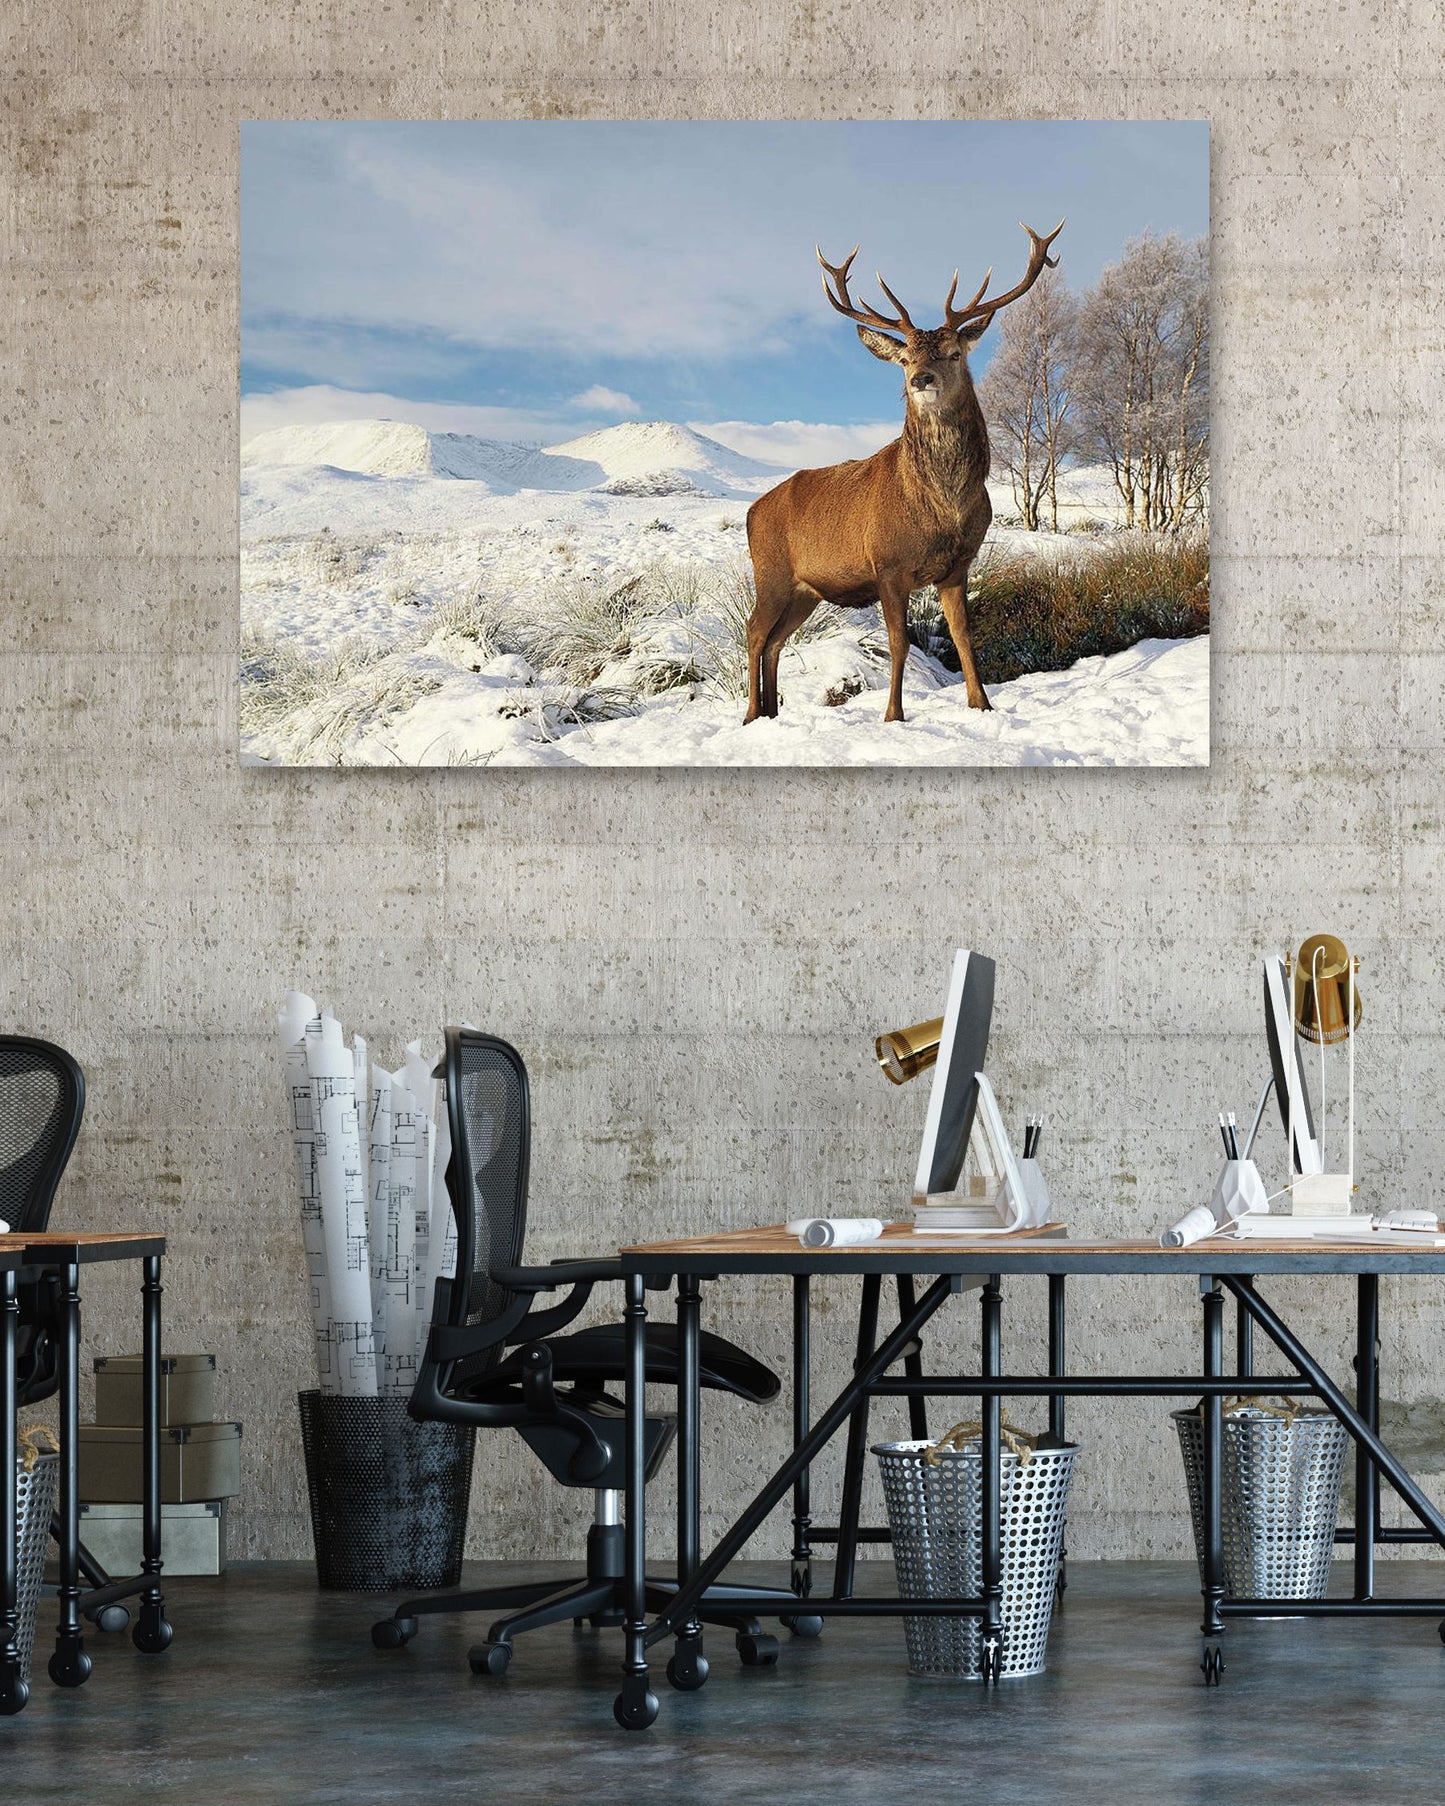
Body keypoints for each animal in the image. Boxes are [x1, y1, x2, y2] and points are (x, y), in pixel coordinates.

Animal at [743, 220, 1064, 725]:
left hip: (806, 590)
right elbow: (899, 643)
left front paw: (982, 704)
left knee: (776, 640)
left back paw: (773, 713)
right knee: (755, 632)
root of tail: (751, 512)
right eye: (905, 358)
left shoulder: (957, 566)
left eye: (953, 352)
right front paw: (893, 715)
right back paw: (751, 714)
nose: (920, 380)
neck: (944, 507)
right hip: (770, 571)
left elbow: (963, 636)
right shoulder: (888, 565)